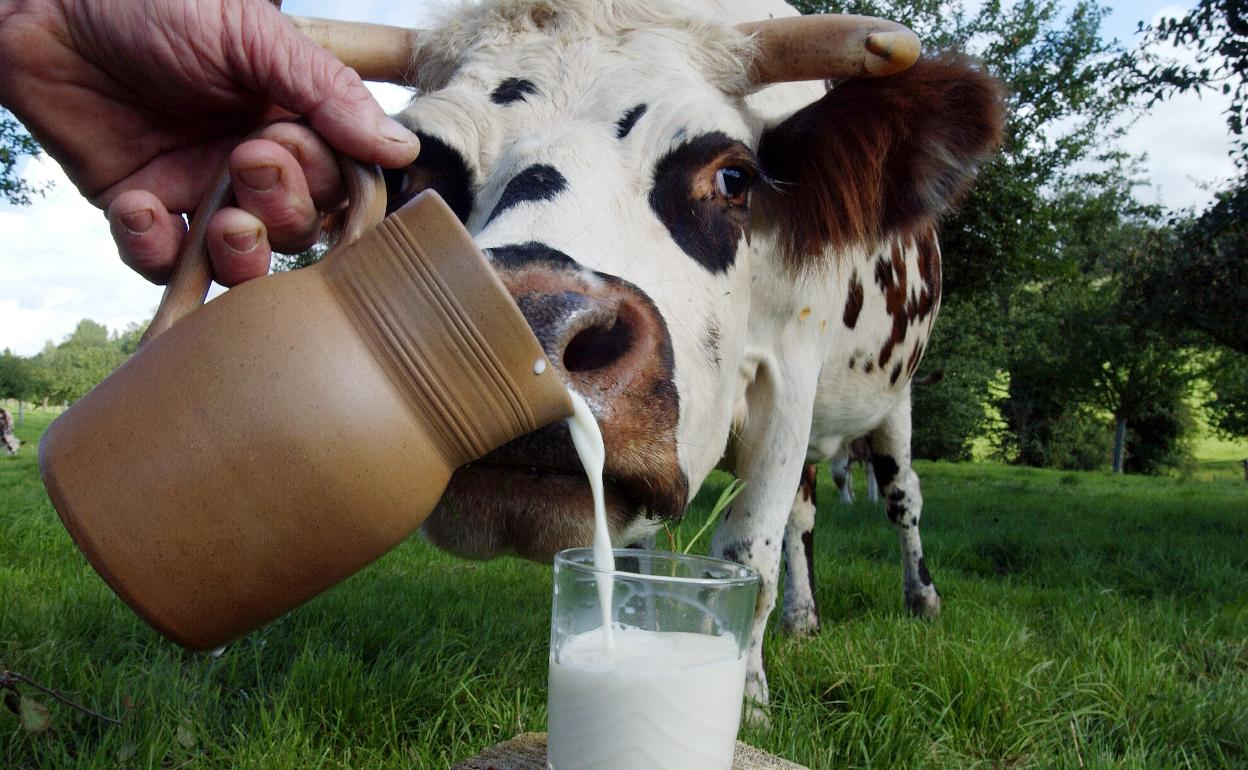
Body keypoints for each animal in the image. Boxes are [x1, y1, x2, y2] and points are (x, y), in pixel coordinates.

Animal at [369, 0, 1003, 713]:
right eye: (408, 175)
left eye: (734, 176)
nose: (526, 332)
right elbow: (646, 566)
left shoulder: (789, 383)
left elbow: (748, 554)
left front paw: (748, 699)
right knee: (805, 515)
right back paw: (805, 619)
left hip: (894, 399)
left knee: (901, 497)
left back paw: (922, 599)